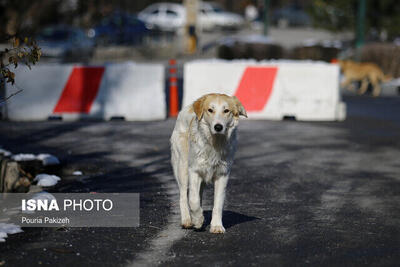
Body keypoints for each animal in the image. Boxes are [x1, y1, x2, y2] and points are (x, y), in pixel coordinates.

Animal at [170, 94, 245, 234]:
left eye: (226, 111)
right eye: (210, 110)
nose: (218, 127)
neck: (214, 144)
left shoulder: (223, 175)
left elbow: (218, 203)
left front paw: (216, 226)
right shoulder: (194, 171)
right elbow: (193, 200)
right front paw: (198, 220)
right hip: (182, 168)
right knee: (183, 196)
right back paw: (187, 220)